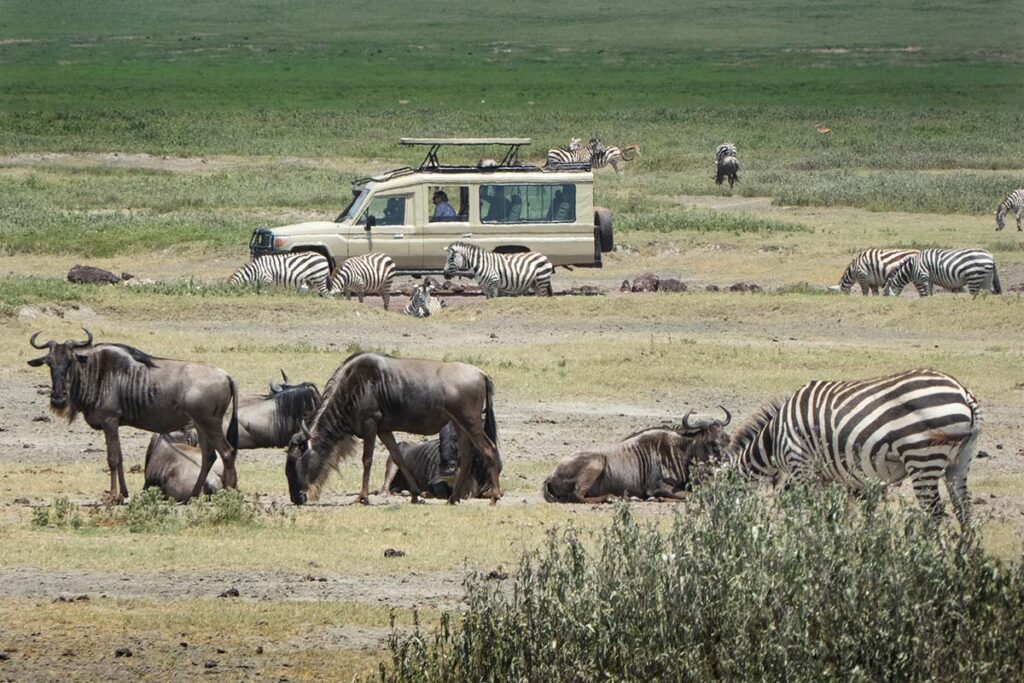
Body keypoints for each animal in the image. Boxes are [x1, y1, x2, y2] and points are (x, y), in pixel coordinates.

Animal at [733, 368, 978, 528]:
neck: (774, 438)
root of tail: (963, 392)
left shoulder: (802, 465)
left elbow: (807, 509)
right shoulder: (834, 477)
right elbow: (837, 514)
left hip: (922, 459)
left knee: (935, 514)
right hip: (959, 462)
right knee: (963, 510)